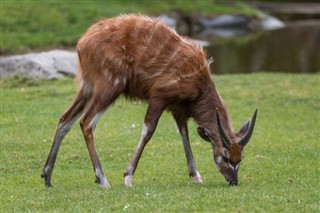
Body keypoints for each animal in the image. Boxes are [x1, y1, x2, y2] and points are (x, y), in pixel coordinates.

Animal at [40, 14, 258, 188]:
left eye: (241, 157)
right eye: (225, 156)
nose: (234, 181)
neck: (199, 87)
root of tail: (81, 44)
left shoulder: (178, 108)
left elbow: (184, 133)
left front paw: (196, 175)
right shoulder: (159, 96)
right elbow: (148, 130)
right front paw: (128, 177)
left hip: (87, 88)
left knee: (65, 119)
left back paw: (47, 177)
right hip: (109, 86)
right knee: (86, 122)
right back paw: (102, 179)